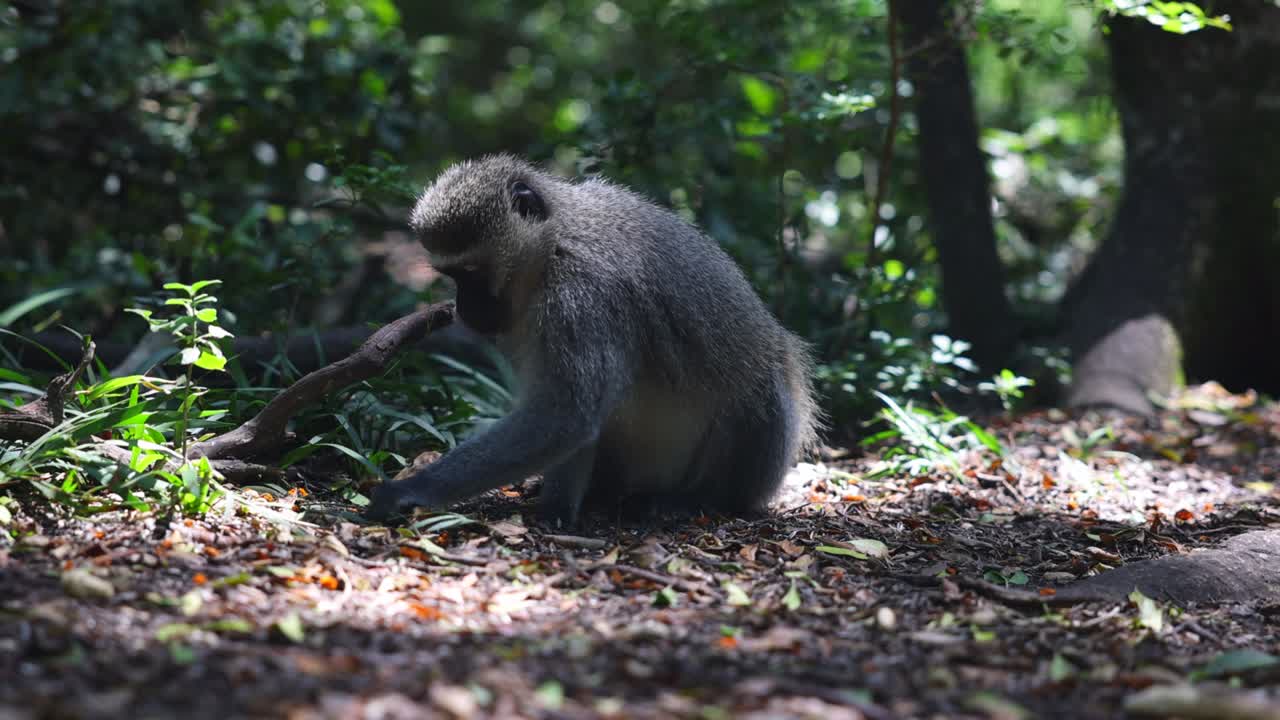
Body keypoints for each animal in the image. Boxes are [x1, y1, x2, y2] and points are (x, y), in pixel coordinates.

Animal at [366, 154, 820, 527]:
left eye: (471, 273)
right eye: (452, 275)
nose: (463, 309)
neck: (552, 247)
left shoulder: (581, 295)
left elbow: (566, 414)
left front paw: (410, 490)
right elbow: (571, 418)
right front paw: (556, 507)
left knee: (757, 393)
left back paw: (697, 500)